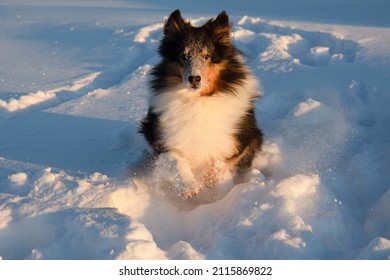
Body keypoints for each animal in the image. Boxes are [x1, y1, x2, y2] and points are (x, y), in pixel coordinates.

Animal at [139, 9, 264, 198]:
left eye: (207, 56)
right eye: (183, 56)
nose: (194, 79)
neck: (198, 100)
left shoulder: (244, 138)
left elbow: (223, 163)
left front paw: (216, 183)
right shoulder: (160, 139)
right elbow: (175, 159)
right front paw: (190, 186)